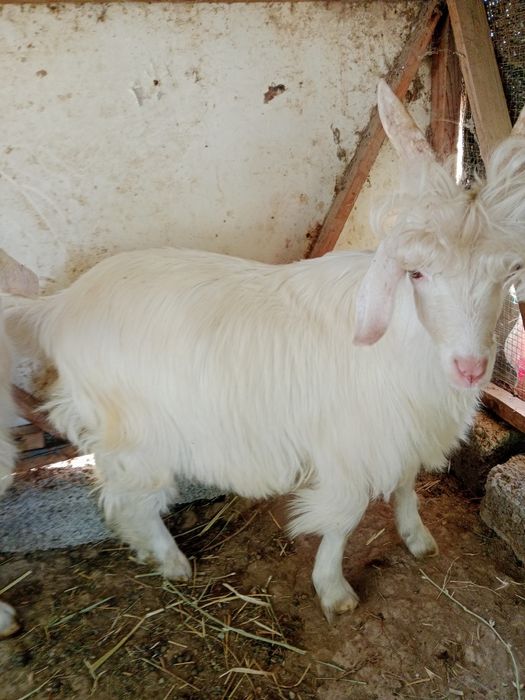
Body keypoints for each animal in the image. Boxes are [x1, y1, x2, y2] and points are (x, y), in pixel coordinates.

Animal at [6, 81, 525, 620]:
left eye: (508, 271)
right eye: (417, 273)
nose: (470, 368)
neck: (406, 348)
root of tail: (59, 306)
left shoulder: (400, 432)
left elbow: (405, 483)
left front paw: (418, 537)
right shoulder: (349, 445)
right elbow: (344, 517)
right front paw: (334, 590)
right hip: (133, 432)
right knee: (130, 497)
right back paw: (170, 561)